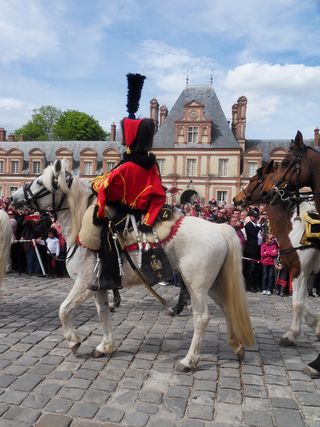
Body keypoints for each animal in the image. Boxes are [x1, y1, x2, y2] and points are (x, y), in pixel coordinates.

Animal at [10, 160, 255, 372]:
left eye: (40, 182)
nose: (13, 197)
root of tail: (219, 228)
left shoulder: (83, 283)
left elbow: (63, 310)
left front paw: (73, 341)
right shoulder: (98, 286)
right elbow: (103, 313)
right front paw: (105, 346)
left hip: (197, 285)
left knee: (201, 318)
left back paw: (189, 361)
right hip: (214, 284)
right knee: (227, 308)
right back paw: (237, 347)